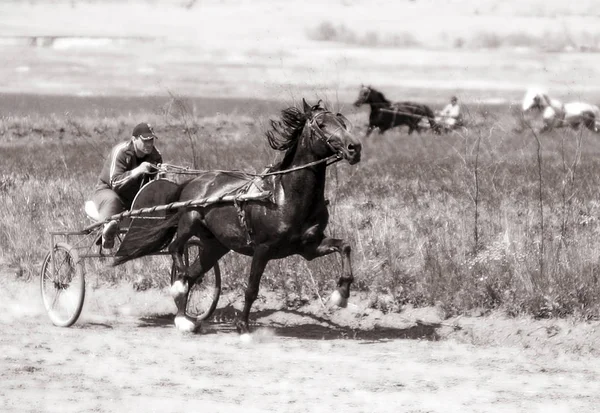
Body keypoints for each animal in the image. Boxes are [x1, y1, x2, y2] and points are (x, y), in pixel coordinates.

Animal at [115, 100, 364, 334]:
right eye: (321, 124)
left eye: (342, 122)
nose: (355, 148)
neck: (286, 196)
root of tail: (193, 181)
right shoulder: (263, 249)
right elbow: (251, 289)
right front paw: (243, 327)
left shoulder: (309, 247)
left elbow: (345, 246)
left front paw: (341, 294)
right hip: (190, 221)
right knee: (176, 250)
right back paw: (179, 291)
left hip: (214, 245)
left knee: (193, 275)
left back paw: (184, 319)